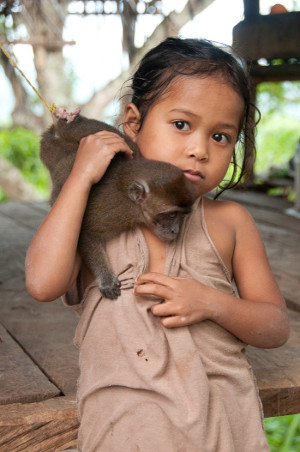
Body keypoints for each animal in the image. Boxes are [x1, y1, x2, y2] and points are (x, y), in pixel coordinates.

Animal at [40, 108, 199, 300]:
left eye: (182, 215)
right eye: (172, 214)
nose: (176, 230)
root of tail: (55, 132)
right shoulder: (115, 210)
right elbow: (85, 229)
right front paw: (106, 279)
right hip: (53, 153)